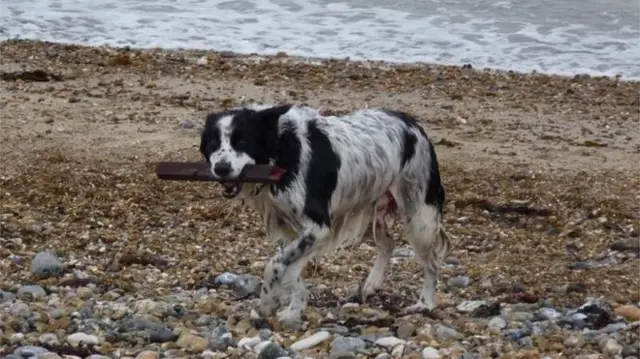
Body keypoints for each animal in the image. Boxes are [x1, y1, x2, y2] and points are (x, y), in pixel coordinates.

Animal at [201, 104, 450, 330]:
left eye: (242, 141)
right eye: (213, 143)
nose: (221, 168)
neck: (281, 151)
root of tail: (412, 123)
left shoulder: (318, 228)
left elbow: (275, 264)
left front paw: (267, 302)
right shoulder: (291, 231)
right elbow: (292, 272)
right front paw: (294, 310)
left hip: (419, 216)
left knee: (432, 261)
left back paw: (425, 303)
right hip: (369, 211)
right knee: (389, 243)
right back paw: (372, 284)